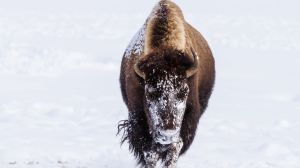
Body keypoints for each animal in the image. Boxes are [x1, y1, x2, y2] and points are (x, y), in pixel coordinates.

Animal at [118, 0, 214, 167]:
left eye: (183, 92)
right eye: (150, 93)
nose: (167, 134)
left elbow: (175, 147)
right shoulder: (137, 116)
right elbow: (149, 151)